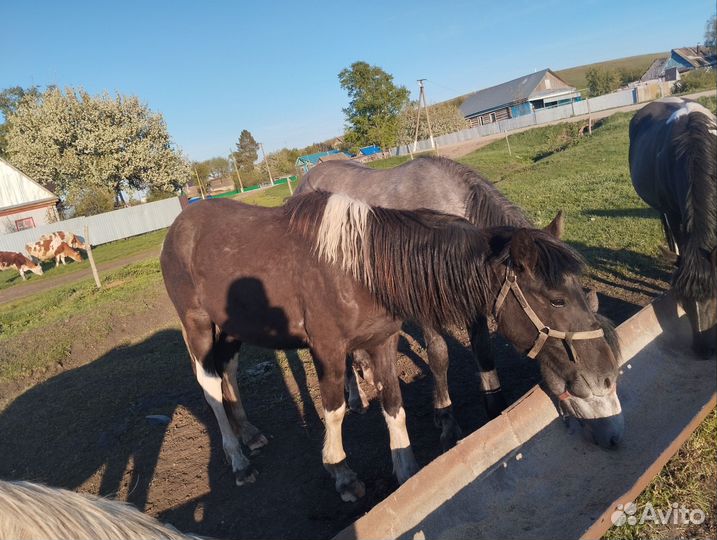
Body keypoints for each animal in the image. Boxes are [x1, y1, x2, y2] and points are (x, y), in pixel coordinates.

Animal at [160, 191, 622, 502]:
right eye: (556, 300)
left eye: (579, 290)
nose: (605, 376)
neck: (360, 268)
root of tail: (180, 223)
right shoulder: (328, 351)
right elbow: (335, 411)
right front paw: (341, 473)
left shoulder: (383, 341)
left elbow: (394, 405)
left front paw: (408, 469)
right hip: (198, 325)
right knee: (209, 384)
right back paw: (237, 458)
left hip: (232, 327)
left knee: (229, 374)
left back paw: (250, 433)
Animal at [295, 156, 578, 446]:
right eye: (556, 301)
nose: (581, 378)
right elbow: (439, 356)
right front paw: (446, 419)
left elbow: (484, 352)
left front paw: (496, 406)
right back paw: (355, 397)